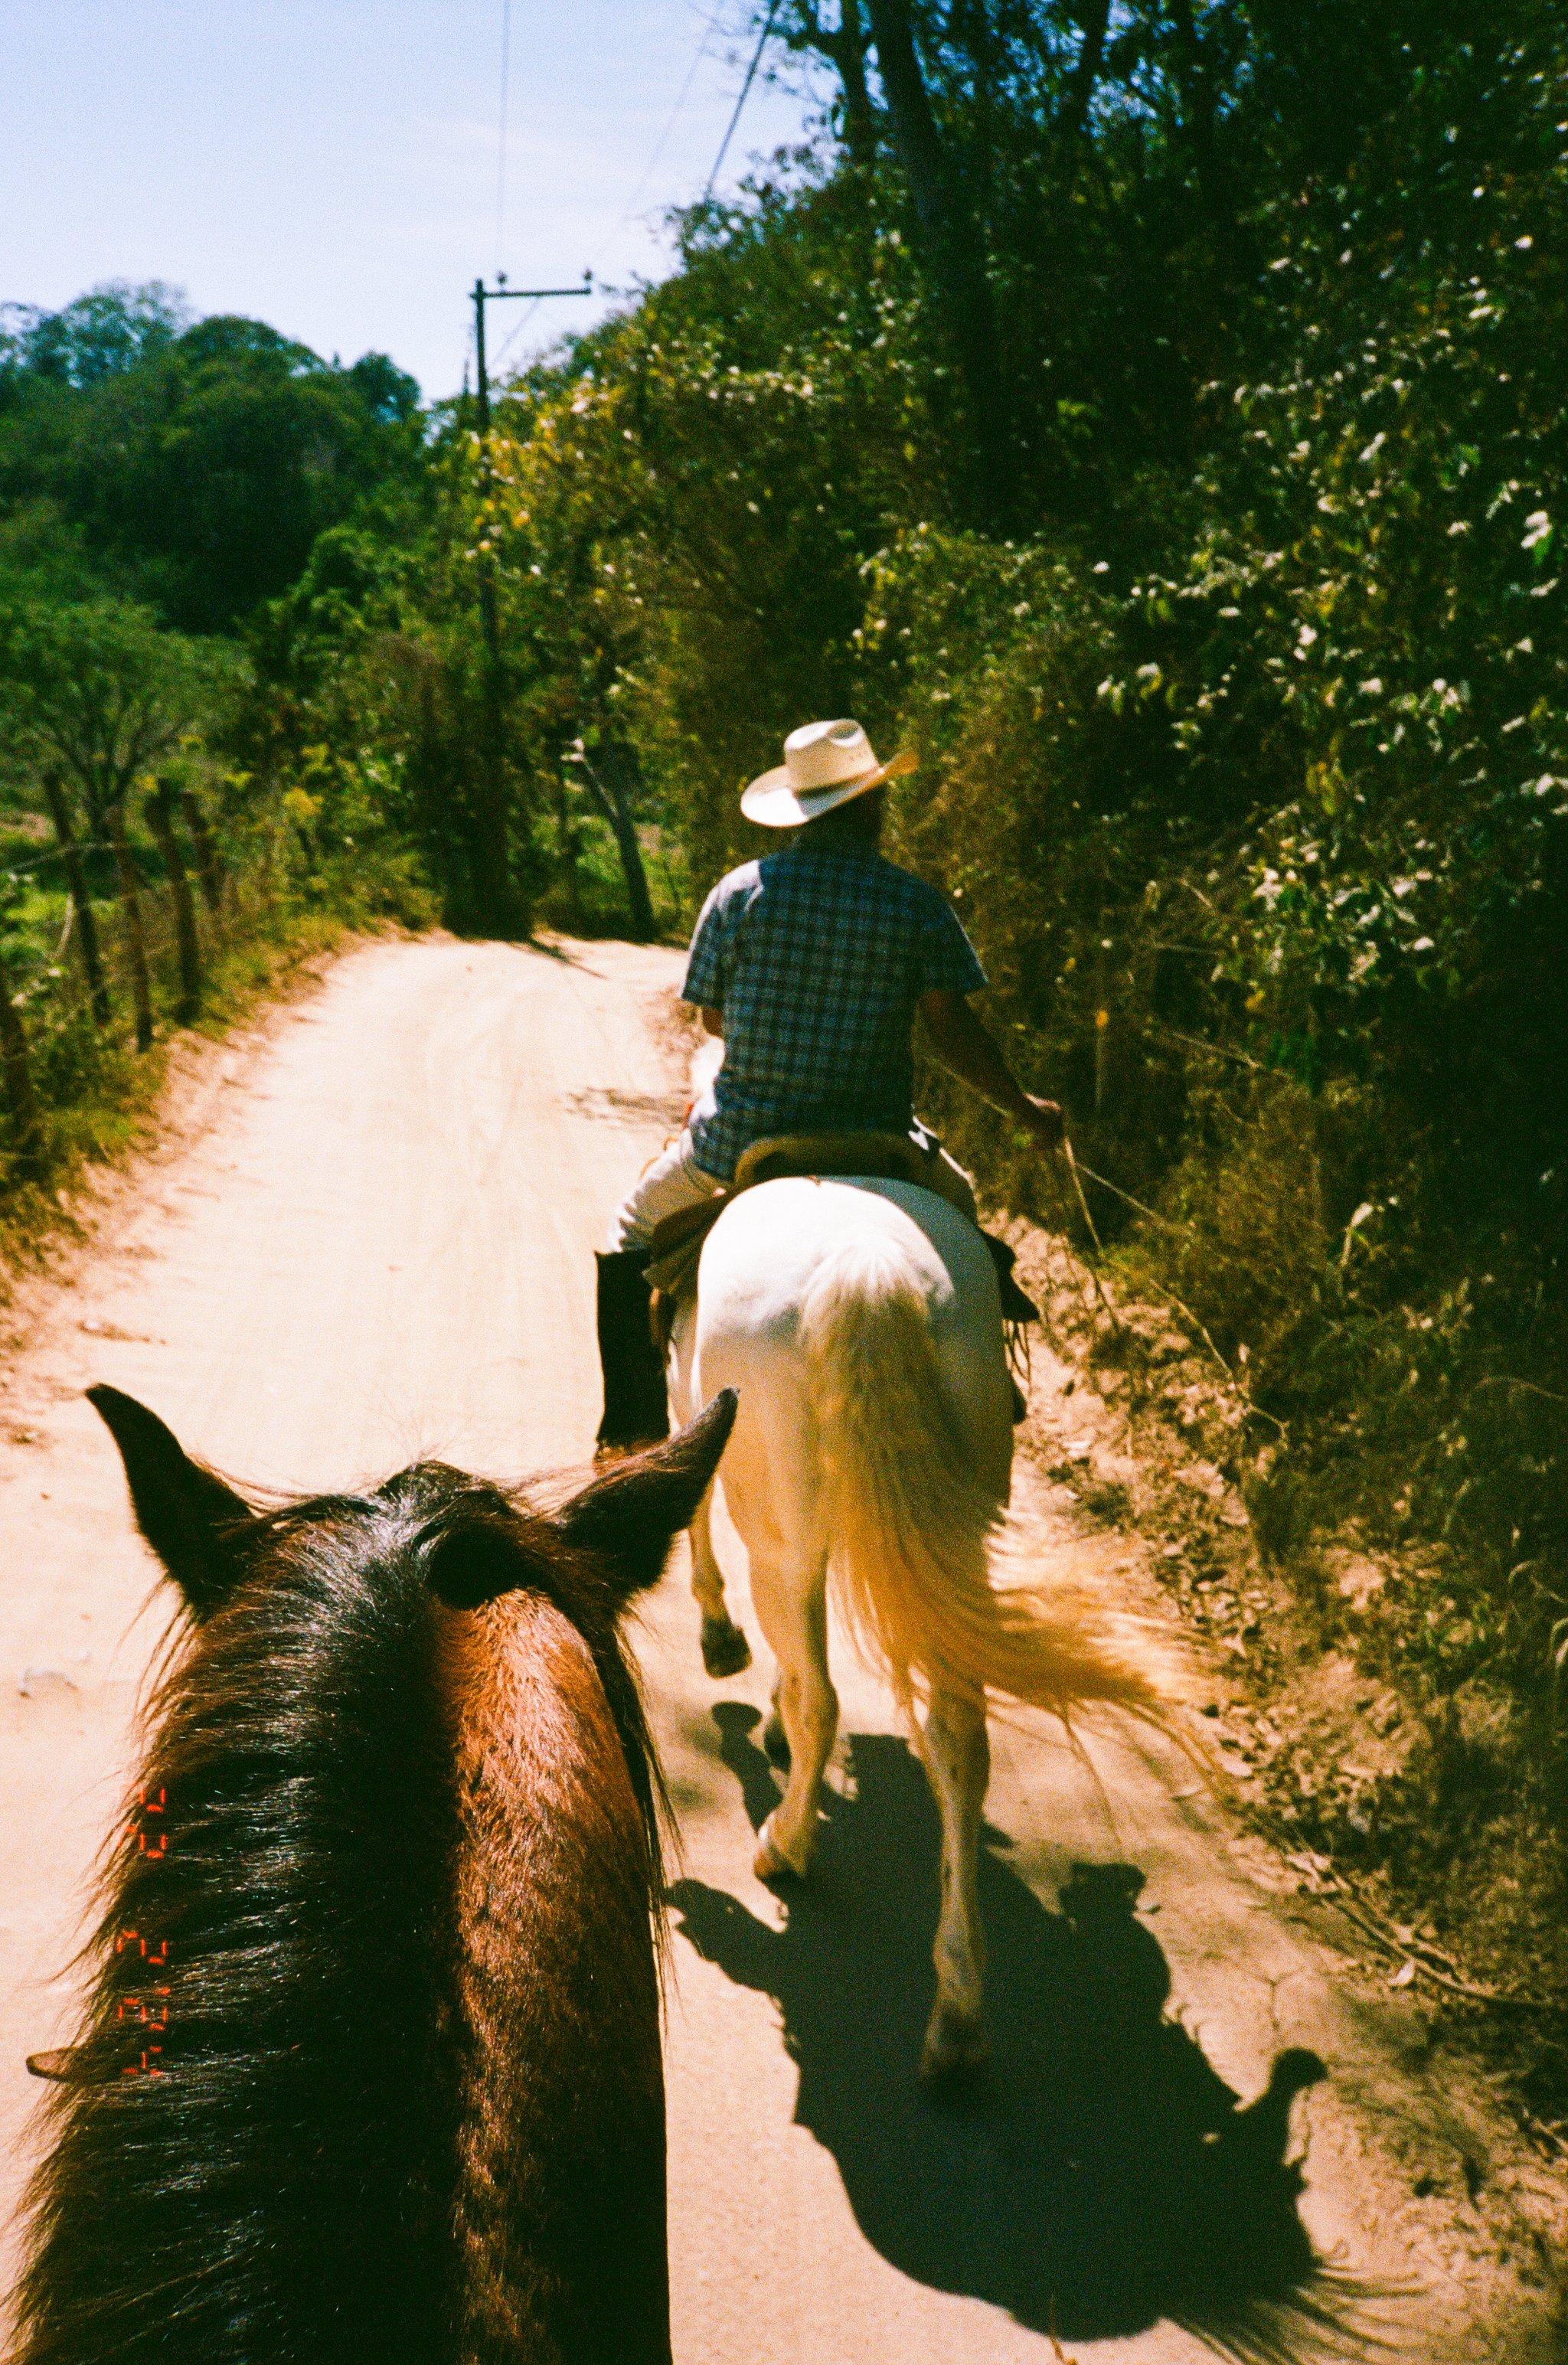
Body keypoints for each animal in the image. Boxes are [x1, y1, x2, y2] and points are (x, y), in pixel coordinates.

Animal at [667, 1158, 1182, 2071]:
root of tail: (863, 1262)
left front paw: (723, 1645)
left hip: (780, 1536)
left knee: (822, 1696)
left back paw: (784, 1846)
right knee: (958, 1741)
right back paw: (958, 2015)